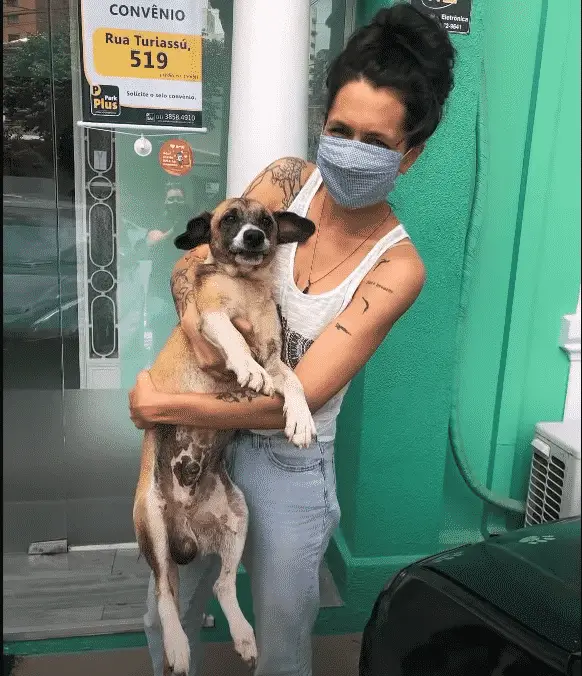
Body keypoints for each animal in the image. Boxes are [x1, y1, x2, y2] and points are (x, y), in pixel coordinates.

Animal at [132, 198, 318, 676]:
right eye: (229, 218)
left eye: (267, 220)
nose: (254, 237)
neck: (246, 288)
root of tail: (188, 523)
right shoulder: (211, 319)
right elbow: (233, 336)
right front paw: (246, 369)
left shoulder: (275, 356)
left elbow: (293, 381)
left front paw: (301, 418)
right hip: (153, 523)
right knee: (164, 592)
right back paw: (178, 647)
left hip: (239, 516)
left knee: (222, 585)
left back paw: (244, 634)